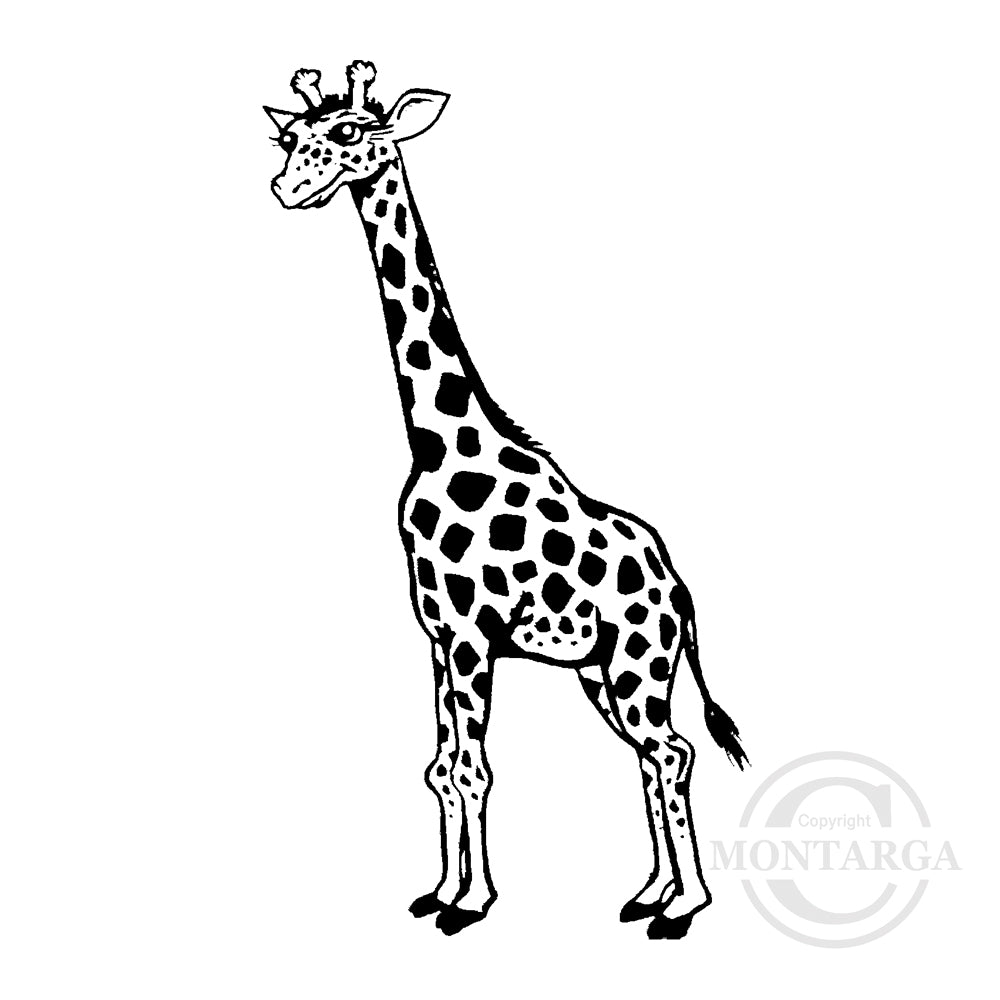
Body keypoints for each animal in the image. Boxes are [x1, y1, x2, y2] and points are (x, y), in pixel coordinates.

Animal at [264, 60, 748, 939]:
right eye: (288, 139)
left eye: (348, 133)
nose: (286, 188)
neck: (438, 440)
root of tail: (681, 591)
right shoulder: (435, 635)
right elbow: (439, 766)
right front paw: (438, 892)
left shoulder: (470, 637)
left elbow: (473, 769)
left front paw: (470, 904)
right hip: (602, 673)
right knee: (652, 756)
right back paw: (649, 894)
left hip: (639, 661)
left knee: (671, 752)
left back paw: (683, 908)